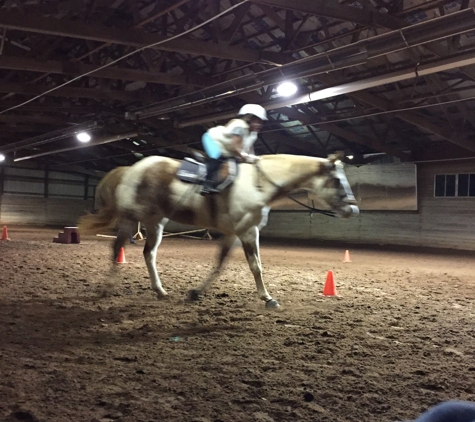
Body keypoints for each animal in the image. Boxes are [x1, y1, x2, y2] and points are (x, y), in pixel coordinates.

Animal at [80, 153, 358, 308]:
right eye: (336, 180)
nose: (352, 210)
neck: (258, 184)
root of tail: (131, 169)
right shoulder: (247, 232)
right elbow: (255, 266)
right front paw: (268, 298)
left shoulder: (237, 233)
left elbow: (220, 264)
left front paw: (195, 293)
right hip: (130, 218)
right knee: (117, 247)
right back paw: (106, 288)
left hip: (155, 222)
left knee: (149, 254)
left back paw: (160, 291)